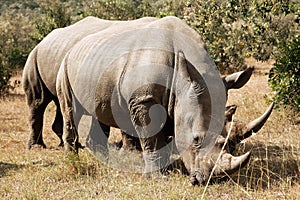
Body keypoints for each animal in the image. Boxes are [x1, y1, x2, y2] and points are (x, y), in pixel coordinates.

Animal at [55, 16, 251, 185]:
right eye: (196, 139)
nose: (216, 180)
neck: (181, 81)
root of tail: (75, 45)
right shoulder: (144, 100)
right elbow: (152, 139)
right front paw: (158, 176)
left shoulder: (171, 103)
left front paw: (165, 169)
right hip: (64, 65)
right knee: (70, 111)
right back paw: (74, 163)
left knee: (99, 112)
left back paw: (106, 162)